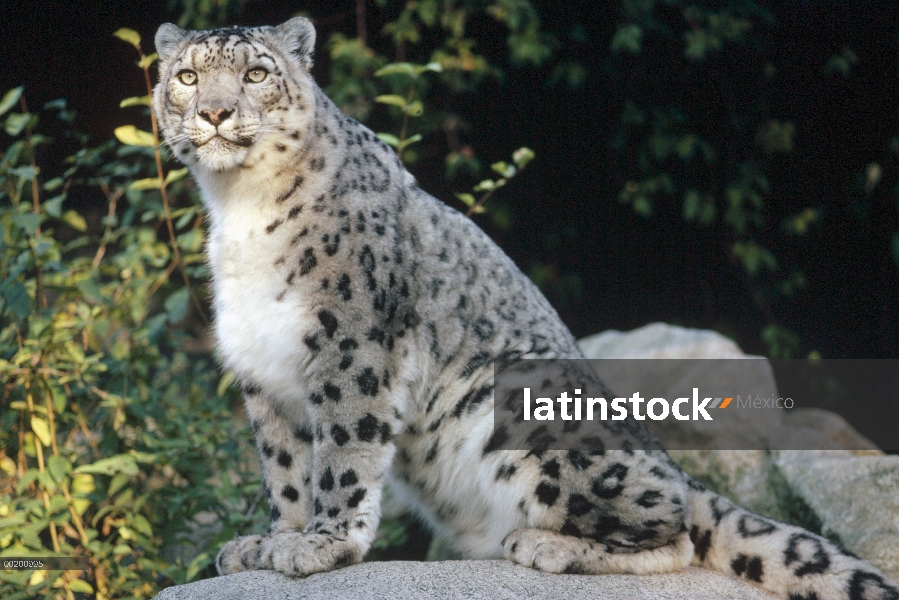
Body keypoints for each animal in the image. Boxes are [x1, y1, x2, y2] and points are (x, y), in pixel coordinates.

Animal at [155, 16, 899, 596]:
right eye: (186, 77)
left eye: (256, 73)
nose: (214, 113)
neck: (238, 208)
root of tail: (676, 464)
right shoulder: (263, 369)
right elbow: (284, 467)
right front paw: (270, 539)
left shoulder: (351, 344)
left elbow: (342, 450)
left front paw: (322, 543)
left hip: (536, 408)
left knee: (678, 526)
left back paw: (546, 544)